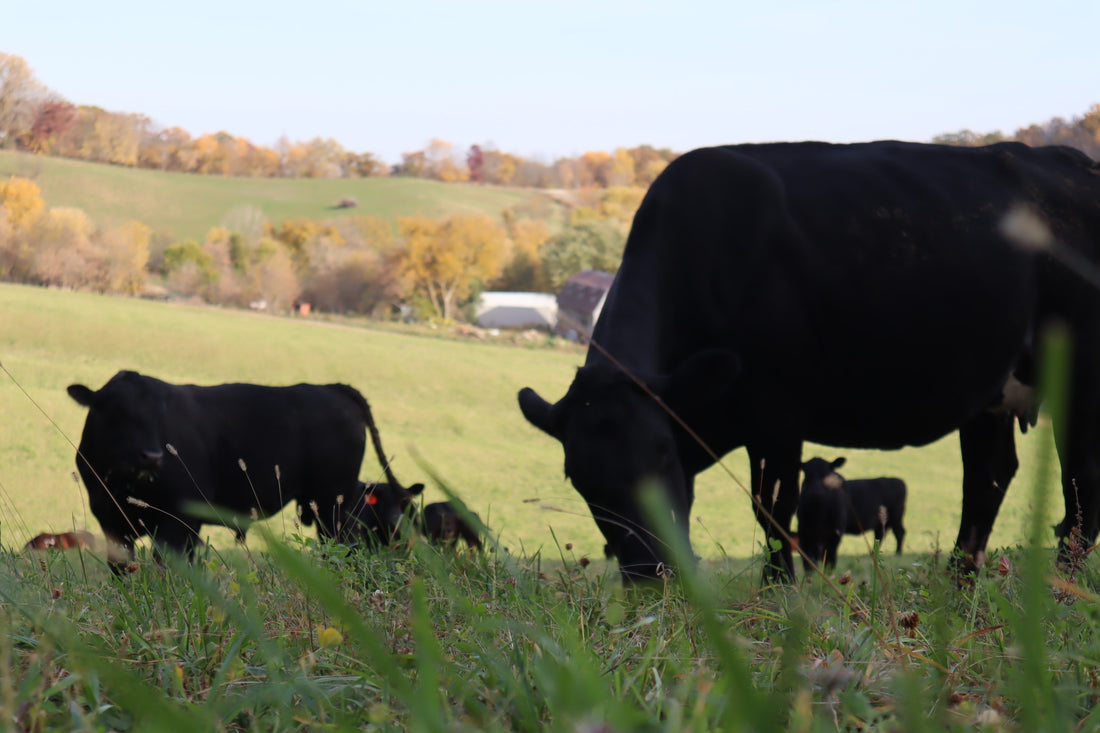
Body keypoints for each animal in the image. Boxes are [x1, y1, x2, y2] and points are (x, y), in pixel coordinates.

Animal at [66, 372, 382, 563]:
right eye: (116, 412)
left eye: (159, 417)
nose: (152, 456)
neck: (122, 484)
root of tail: (331, 388)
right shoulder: (111, 522)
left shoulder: (178, 521)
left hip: (332, 504)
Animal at [519, 138, 1100, 581]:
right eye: (579, 479)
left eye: (661, 454)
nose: (648, 572)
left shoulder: (775, 413)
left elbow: (773, 511)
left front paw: (778, 592)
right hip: (992, 390)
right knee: (989, 478)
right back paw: (962, 582)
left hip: (1079, 374)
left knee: (1080, 487)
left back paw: (1062, 589)